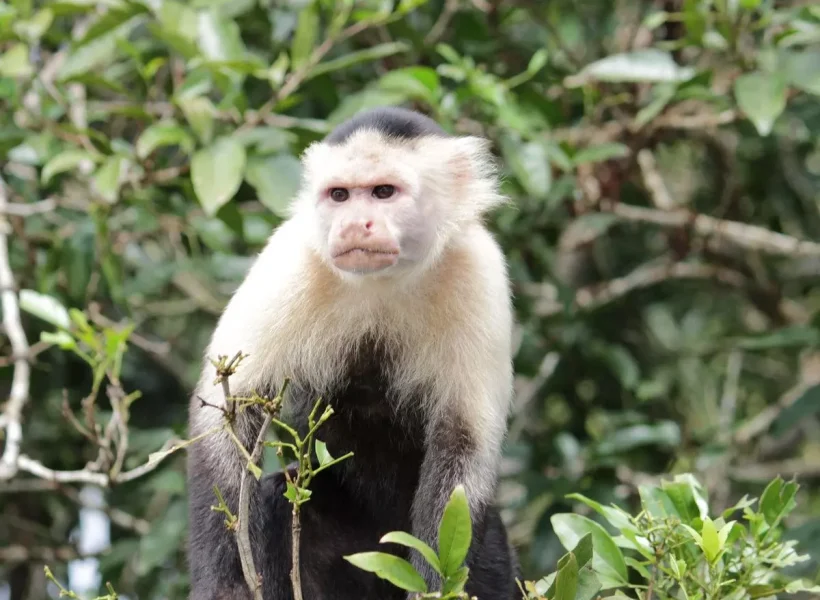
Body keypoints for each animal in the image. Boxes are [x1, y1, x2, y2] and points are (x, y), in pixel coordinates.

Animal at [187, 107, 519, 599]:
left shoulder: (478, 269)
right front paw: (226, 582)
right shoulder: (290, 260)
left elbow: (463, 443)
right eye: (339, 195)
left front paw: (430, 589)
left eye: (383, 192)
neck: (386, 281)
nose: (351, 224)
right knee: (283, 499)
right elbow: (228, 411)